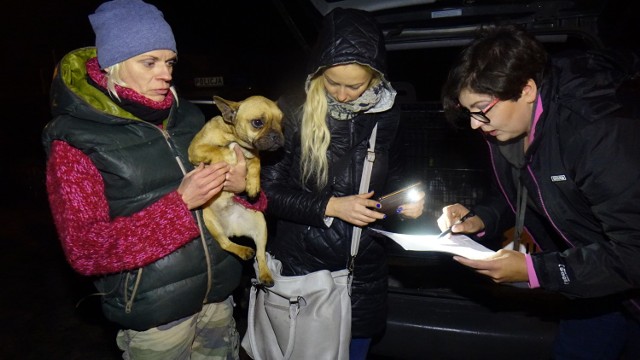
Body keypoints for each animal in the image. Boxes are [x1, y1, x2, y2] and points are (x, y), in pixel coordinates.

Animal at [188, 95, 282, 286]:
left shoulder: (254, 155)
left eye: (281, 121)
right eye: (258, 122)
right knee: (225, 243)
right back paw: (243, 250)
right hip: (210, 222)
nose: (277, 135)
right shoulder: (197, 148)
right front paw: (225, 157)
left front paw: (253, 185)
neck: (234, 139)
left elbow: (256, 163)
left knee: (260, 254)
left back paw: (265, 274)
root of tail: (234, 230)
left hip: (261, 225)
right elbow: (215, 149)